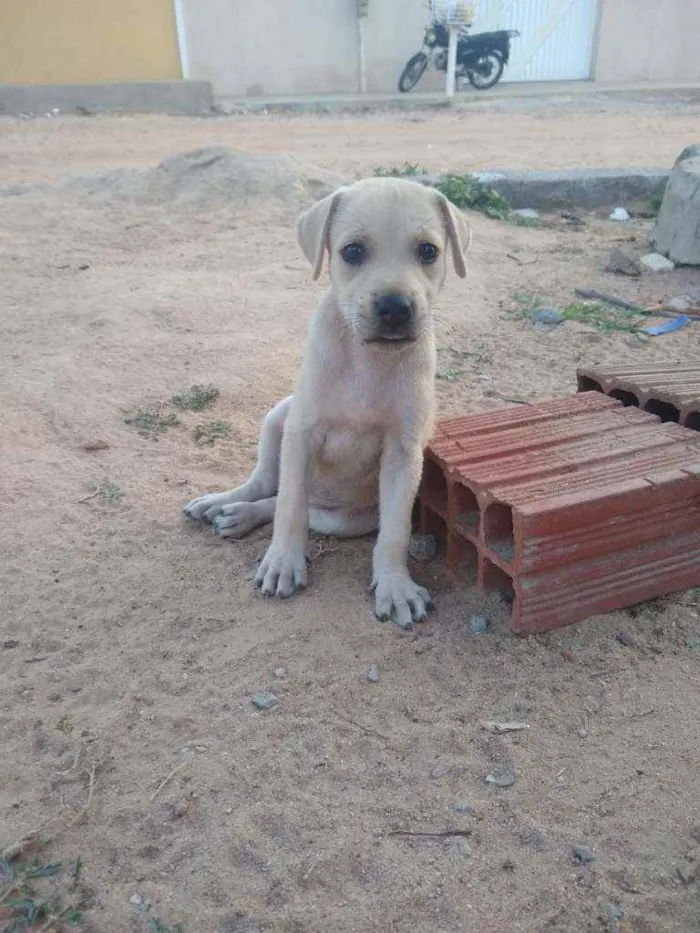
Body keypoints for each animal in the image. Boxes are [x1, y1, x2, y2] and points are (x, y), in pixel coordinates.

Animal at [186, 175, 470, 628]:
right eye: (352, 251)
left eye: (428, 251)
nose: (395, 308)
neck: (369, 360)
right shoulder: (302, 432)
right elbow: (290, 507)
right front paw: (283, 562)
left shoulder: (403, 452)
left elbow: (395, 531)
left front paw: (395, 586)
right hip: (278, 416)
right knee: (270, 486)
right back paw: (224, 504)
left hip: (345, 520)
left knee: (294, 507)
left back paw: (240, 515)